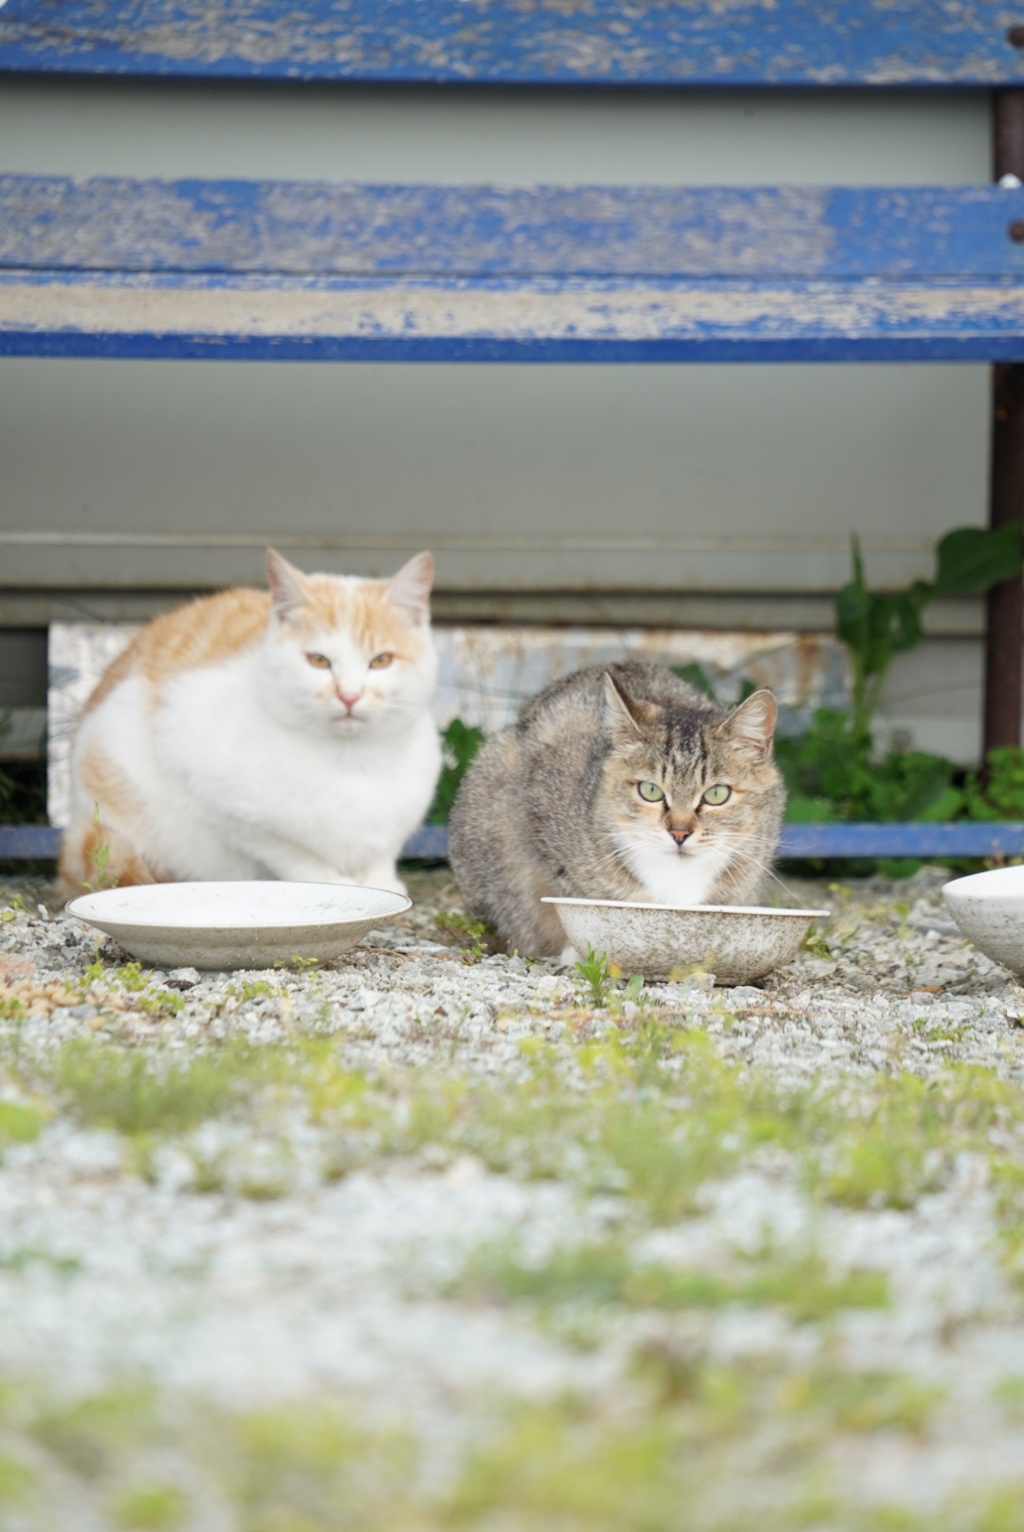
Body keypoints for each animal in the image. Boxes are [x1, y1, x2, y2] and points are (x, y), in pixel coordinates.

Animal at [57, 551, 441, 894]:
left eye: (381, 660)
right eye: (318, 660)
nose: (349, 695)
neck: (352, 761)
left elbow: (382, 852)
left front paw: (381, 882)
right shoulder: (214, 793)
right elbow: (291, 852)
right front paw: (331, 881)